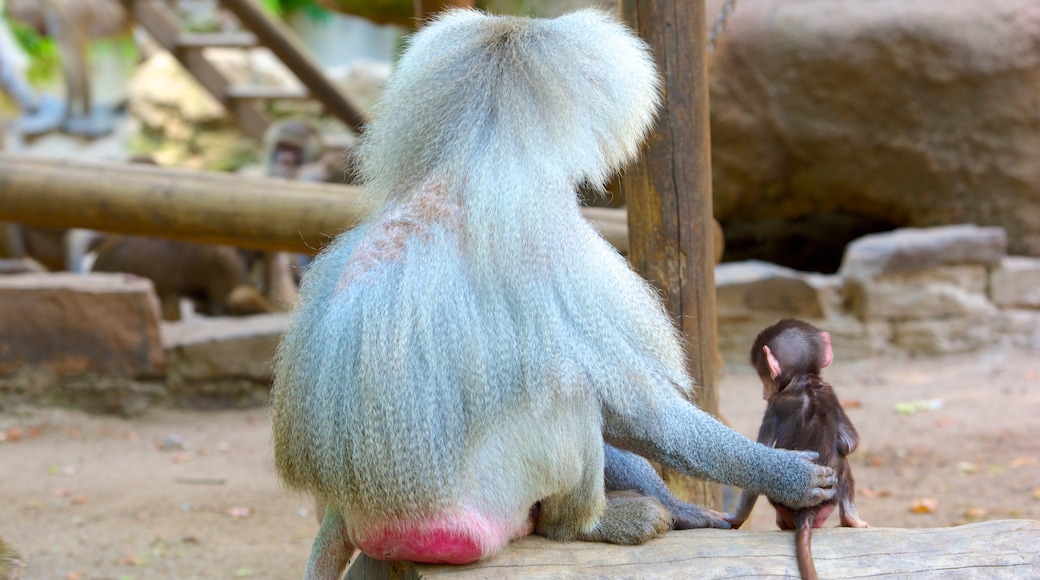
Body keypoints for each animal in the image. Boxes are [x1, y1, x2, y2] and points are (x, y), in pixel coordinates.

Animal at [270, 7, 836, 577]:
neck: (465, 167)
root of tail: (356, 509)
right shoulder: (556, 242)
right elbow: (643, 412)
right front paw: (787, 475)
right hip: (487, 493)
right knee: (568, 390)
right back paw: (592, 525)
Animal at [732, 320, 869, 580]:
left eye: (763, 375)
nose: (763, 393)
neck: (802, 381)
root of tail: (805, 513)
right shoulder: (830, 393)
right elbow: (849, 443)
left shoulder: (774, 406)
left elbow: (761, 456)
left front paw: (734, 520)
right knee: (844, 466)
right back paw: (852, 520)